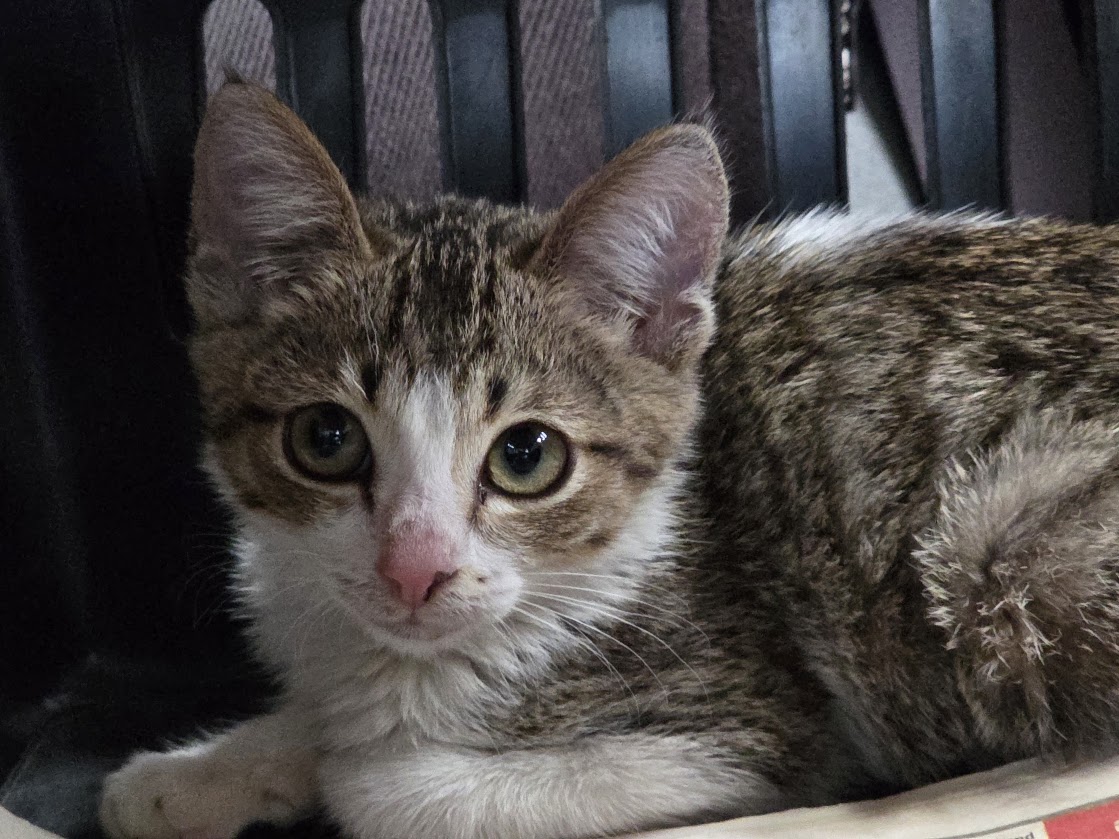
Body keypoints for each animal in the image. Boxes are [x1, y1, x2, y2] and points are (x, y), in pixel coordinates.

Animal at [99, 80, 1119, 839]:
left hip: (999, 551)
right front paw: (203, 770)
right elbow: (328, 711)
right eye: (325, 438)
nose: (412, 570)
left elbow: (399, 790)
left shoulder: (757, 731)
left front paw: (347, 764)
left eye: (526, 455)